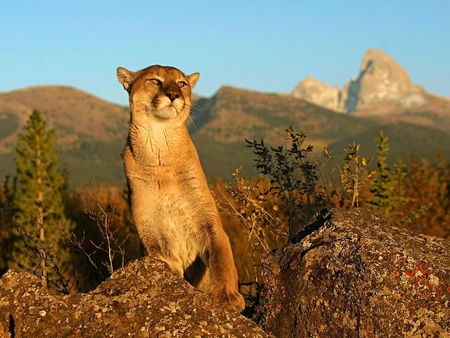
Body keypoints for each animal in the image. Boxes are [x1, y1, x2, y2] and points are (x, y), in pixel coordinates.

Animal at [115, 64, 243, 312]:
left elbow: (222, 259)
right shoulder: (153, 237)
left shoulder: (209, 223)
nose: (173, 94)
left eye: (182, 83)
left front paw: (227, 297)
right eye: (155, 81)